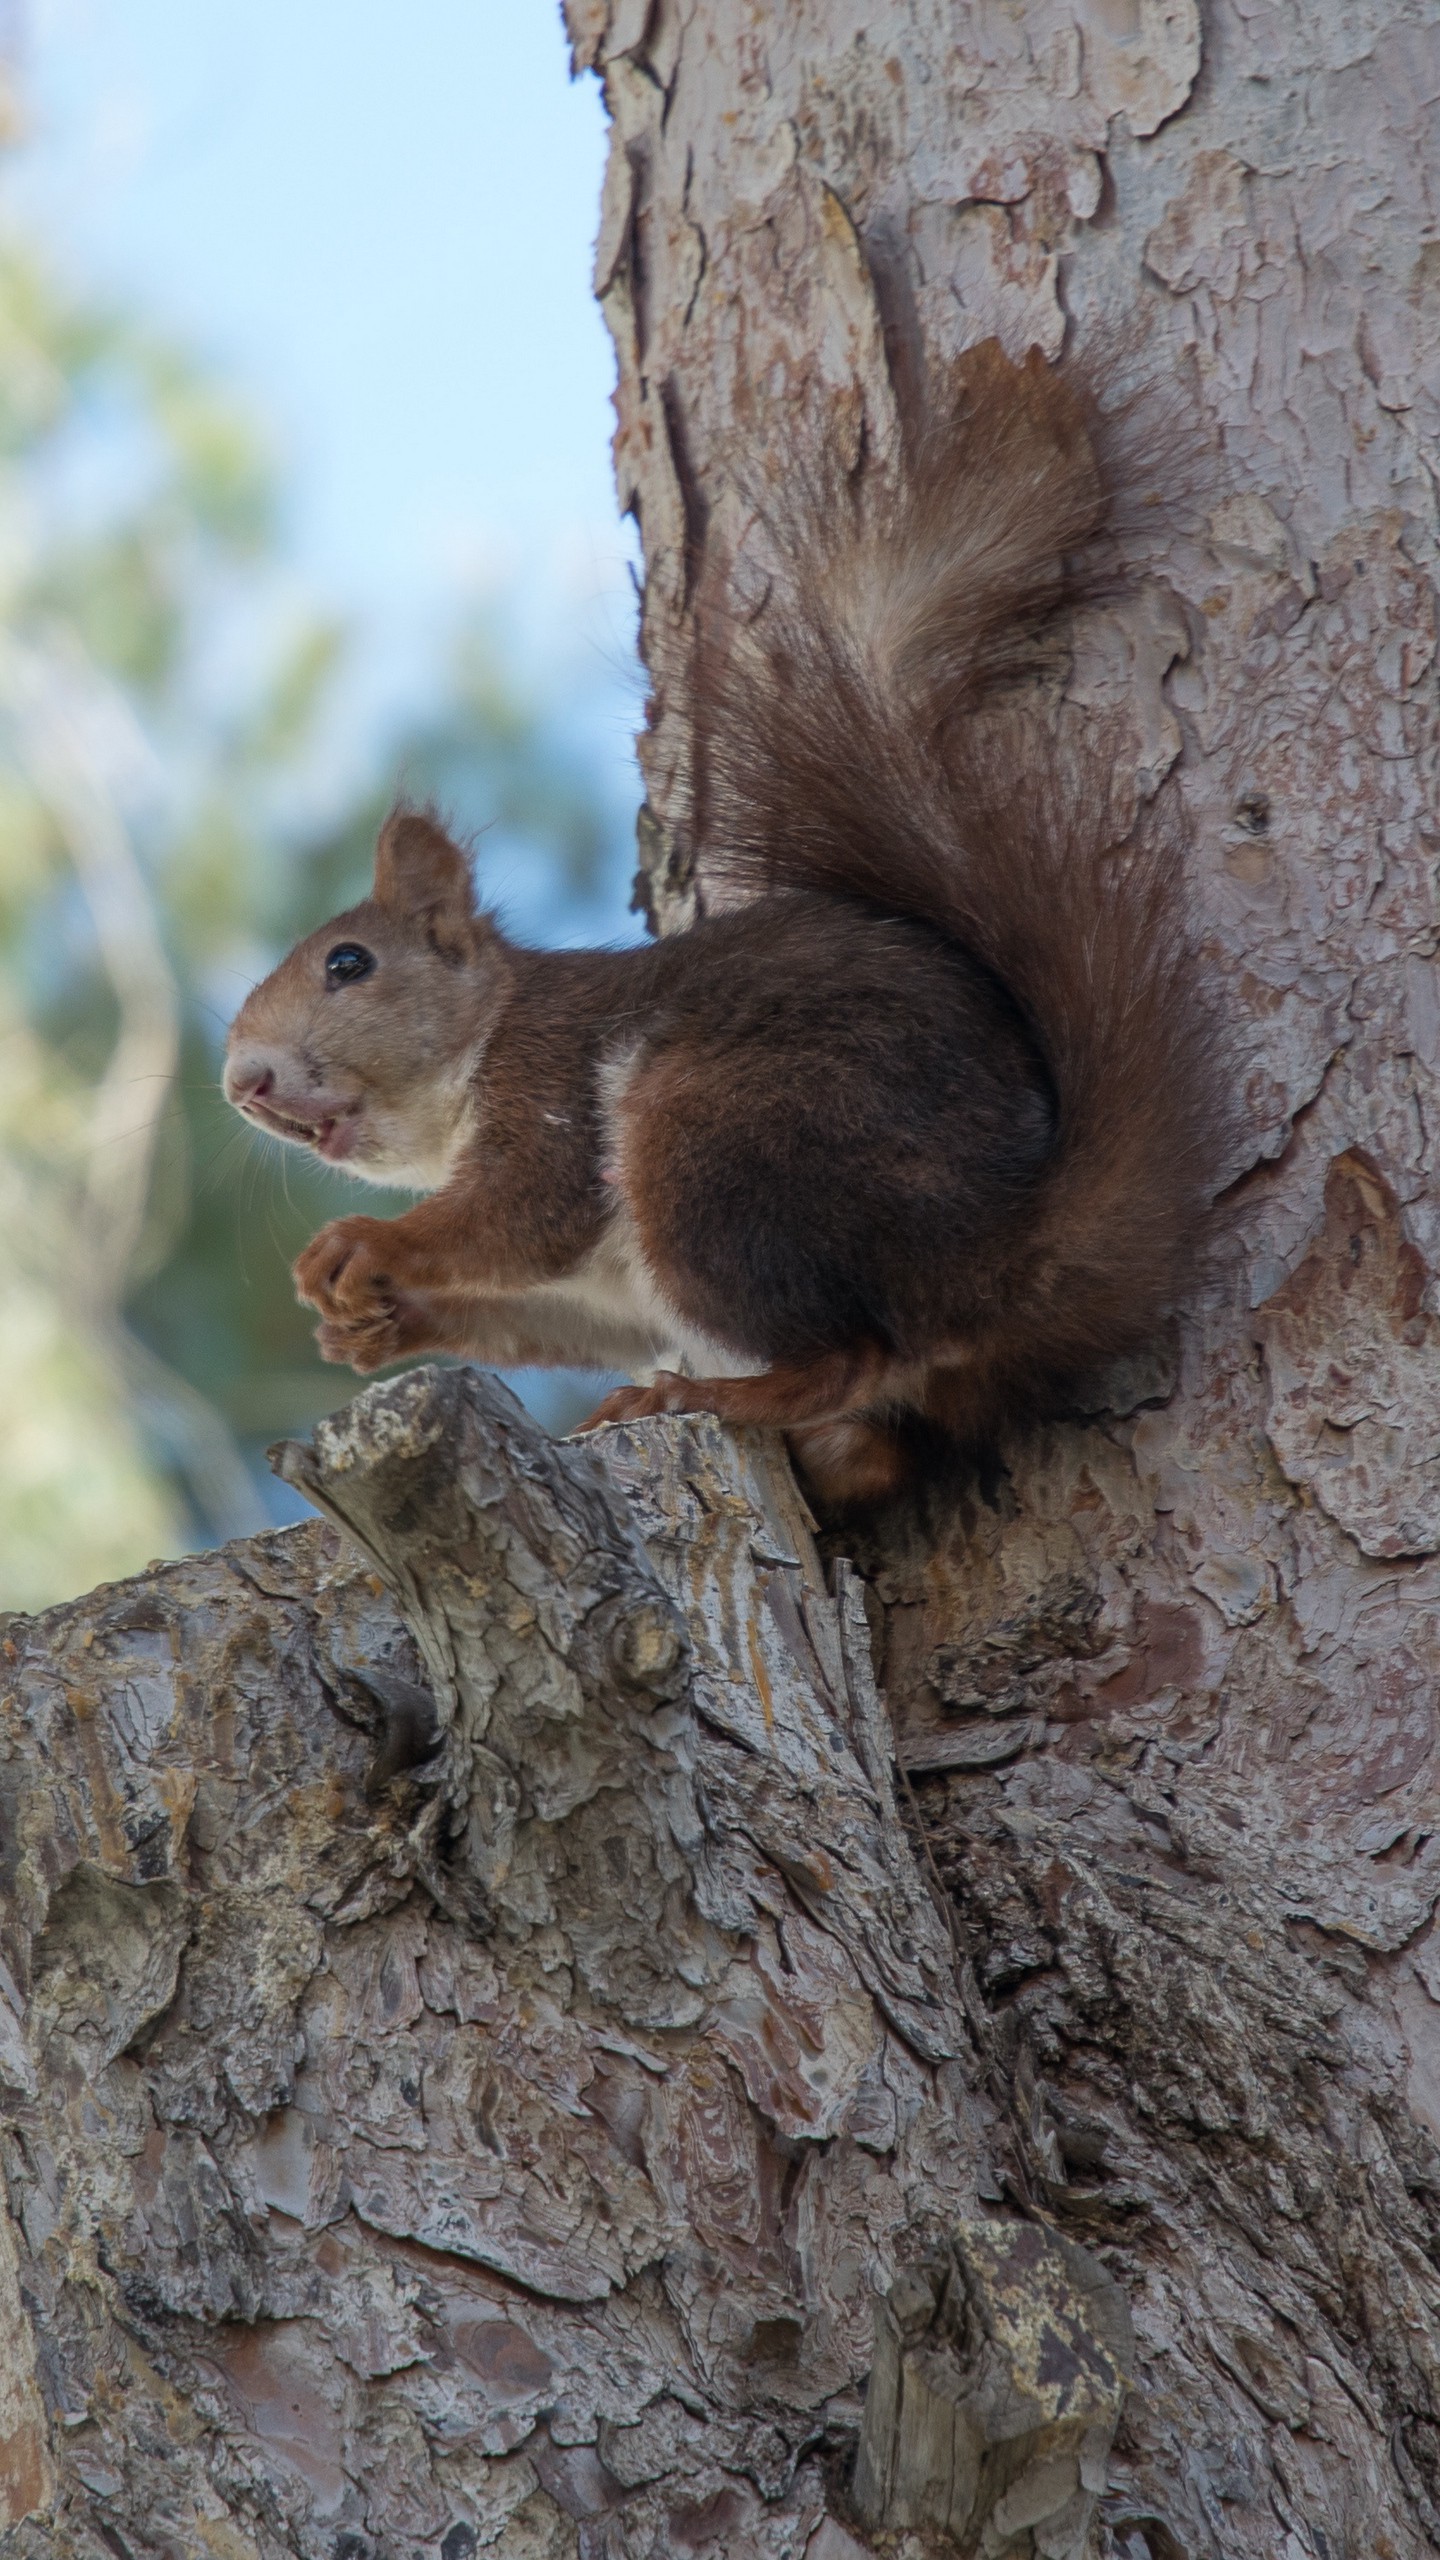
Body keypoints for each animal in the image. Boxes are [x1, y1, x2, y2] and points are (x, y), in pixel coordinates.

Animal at [224, 337, 1219, 1495]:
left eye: (347, 964)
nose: (242, 1083)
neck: (482, 1043)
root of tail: (995, 1255)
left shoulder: (547, 1085)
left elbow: (521, 1212)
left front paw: (364, 1250)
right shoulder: (605, 1291)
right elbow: (551, 1309)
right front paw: (376, 1325)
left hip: (713, 1140)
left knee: (851, 1353)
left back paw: (701, 1398)